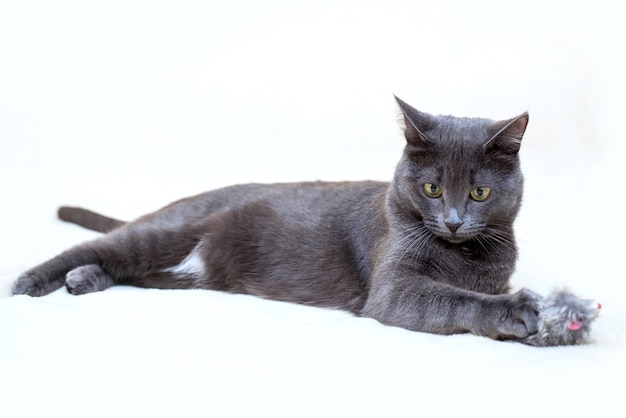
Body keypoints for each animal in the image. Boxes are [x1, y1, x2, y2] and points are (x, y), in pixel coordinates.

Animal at [12, 96, 540, 342]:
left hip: (174, 274)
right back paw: (30, 282)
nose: (452, 221)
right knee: (101, 246)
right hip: (169, 233)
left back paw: (83, 280)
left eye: (478, 193)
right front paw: (516, 313)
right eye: (432, 188)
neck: (459, 253)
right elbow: (452, 299)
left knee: (127, 269)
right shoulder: (393, 288)